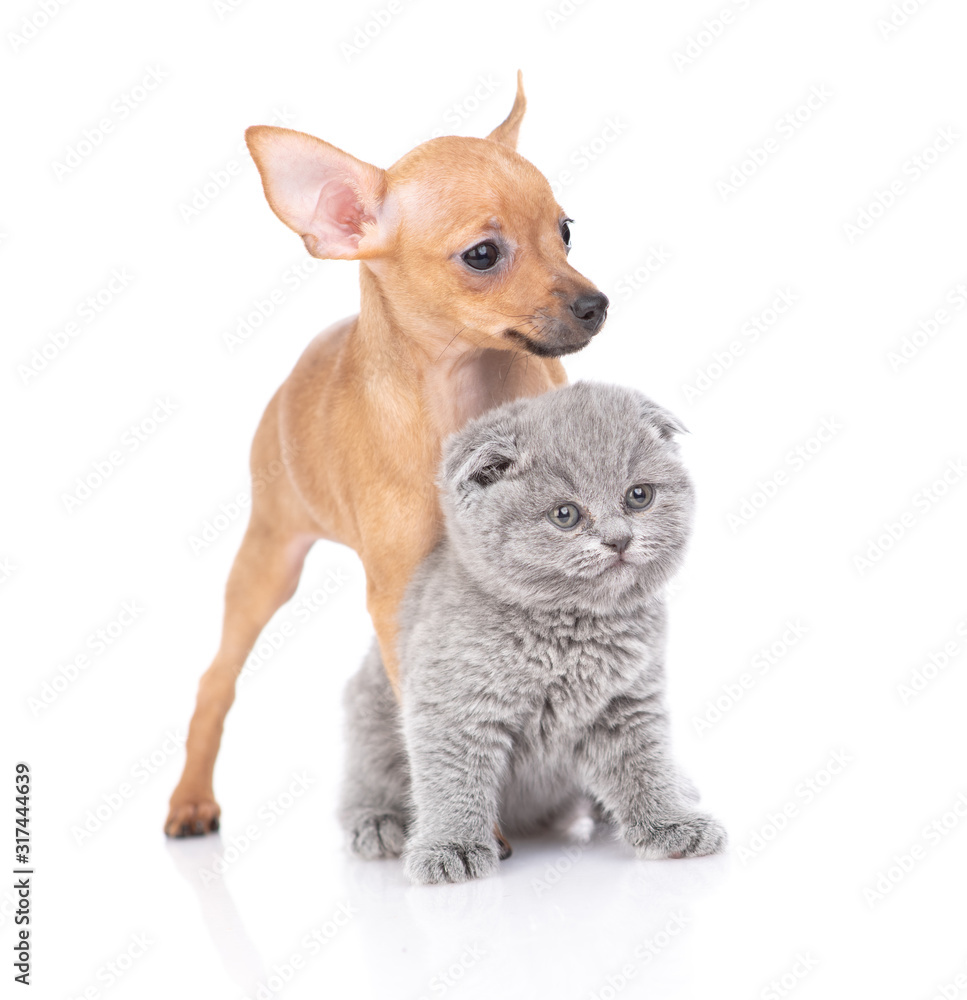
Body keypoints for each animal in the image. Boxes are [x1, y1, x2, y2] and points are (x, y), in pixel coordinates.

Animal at [165, 74, 604, 836]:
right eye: (483, 255)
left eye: (565, 232)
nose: (595, 304)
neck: (458, 395)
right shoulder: (399, 594)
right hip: (267, 560)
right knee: (215, 680)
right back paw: (191, 797)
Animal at [340, 380, 728, 884]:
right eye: (565, 515)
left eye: (639, 496)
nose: (619, 539)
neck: (569, 630)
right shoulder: (452, 704)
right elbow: (450, 777)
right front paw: (451, 847)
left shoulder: (628, 701)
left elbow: (644, 764)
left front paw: (672, 823)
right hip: (369, 706)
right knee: (363, 780)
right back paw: (375, 823)